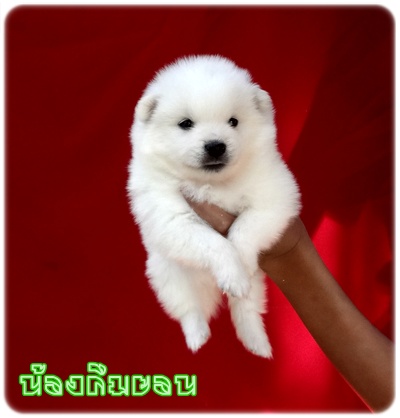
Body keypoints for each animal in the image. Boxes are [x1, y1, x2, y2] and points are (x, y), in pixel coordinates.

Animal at [127, 55, 301, 357]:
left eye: (233, 121)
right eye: (186, 123)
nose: (215, 146)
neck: (212, 183)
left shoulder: (273, 197)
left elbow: (243, 230)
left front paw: (241, 267)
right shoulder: (171, 215)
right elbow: (214, 243)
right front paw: (233, 271)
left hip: (255, 287)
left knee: (247, 308)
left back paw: (256, 341)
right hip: (167, 275)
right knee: (189, 308)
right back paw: (197, 335)